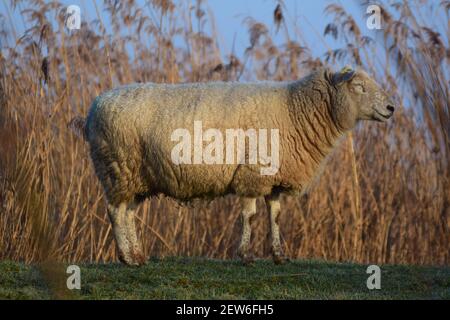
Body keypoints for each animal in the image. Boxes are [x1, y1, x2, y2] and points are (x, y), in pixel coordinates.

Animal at [70, 65, 394, 264]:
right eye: (360, 87)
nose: (391, 108)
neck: (296, 109)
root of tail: (92, 109)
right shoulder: (252, 174)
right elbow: (249, 216)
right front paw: (246, 255)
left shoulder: (274, 180)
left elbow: (275, 216)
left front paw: (279, 256)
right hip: (118, 167)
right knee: (115, 212)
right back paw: (127, 258)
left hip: (137, 178)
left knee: (128, 213)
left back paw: (137, 255)